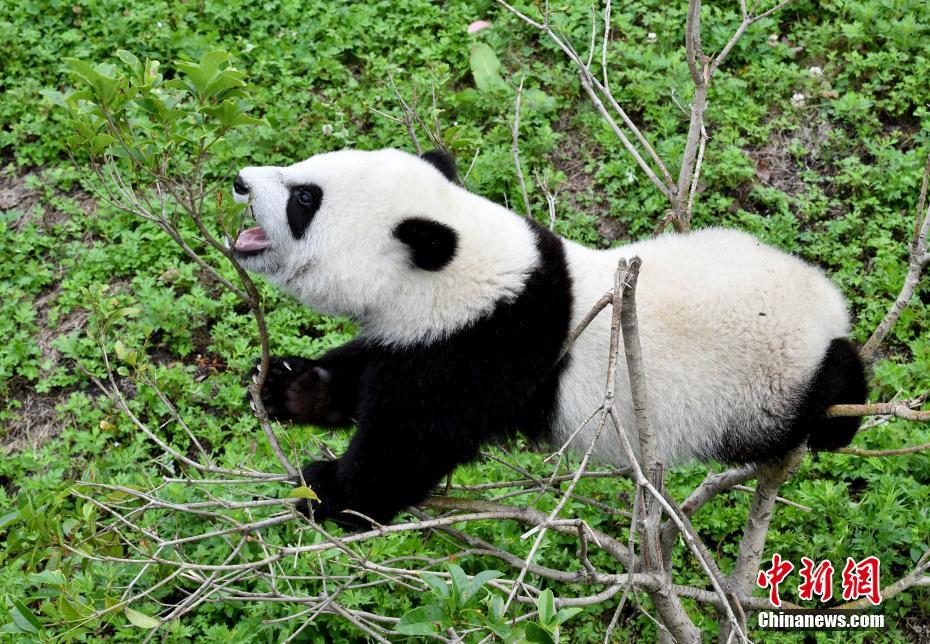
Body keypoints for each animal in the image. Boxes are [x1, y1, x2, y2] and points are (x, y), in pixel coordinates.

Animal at [228, 150, 868, 528]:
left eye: (304, 198)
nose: (239, 180)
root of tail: (831, 308)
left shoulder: (486, 344)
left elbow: (411, 444)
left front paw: (327, 490)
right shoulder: (422, 331)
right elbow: (369, 370)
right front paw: (291, 386)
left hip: (763, 387)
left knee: (821, 398)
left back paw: (842, 401)